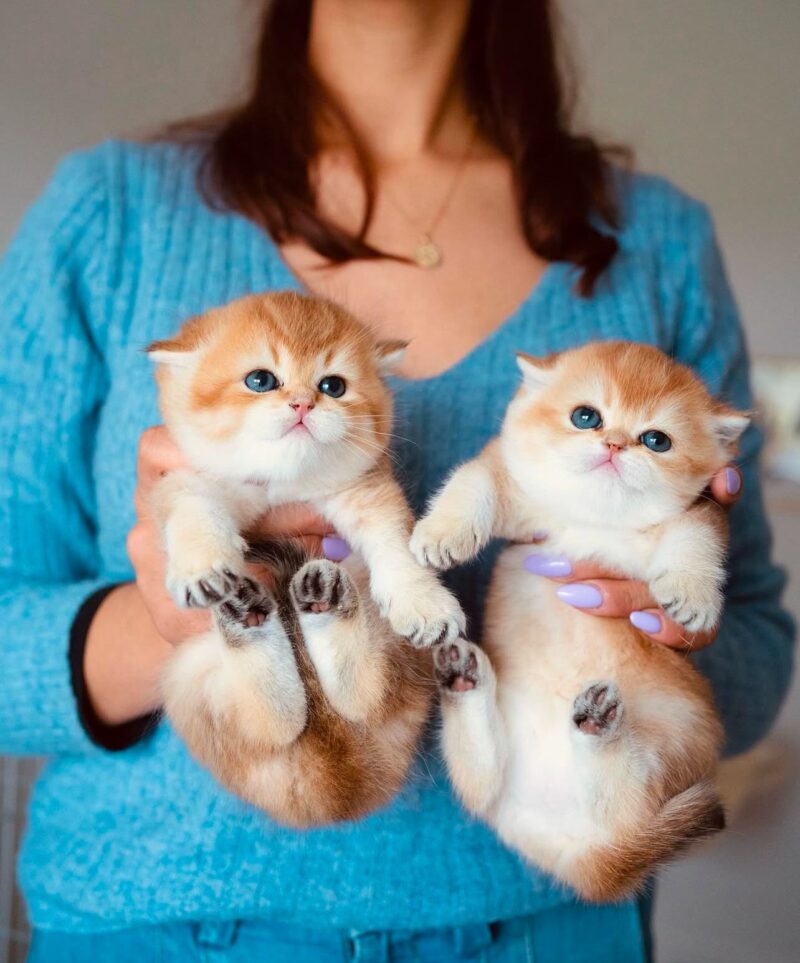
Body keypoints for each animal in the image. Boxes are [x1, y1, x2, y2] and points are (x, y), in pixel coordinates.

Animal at [149, 290, 456, 824]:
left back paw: (324, 601)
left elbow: (395, 541)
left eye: (333, 386)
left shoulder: (365, 490)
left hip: (396, 653)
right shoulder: (185, 478)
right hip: (190, 675)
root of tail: (338, 780)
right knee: (274, 723)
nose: (302, 403)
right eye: (260, 380)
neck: (282, 483)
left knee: (365, 695)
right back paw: (249, 618)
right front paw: (203, 565)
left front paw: (422, 600)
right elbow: (191, 507)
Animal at [412, 342, 752, 900]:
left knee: (624, 802)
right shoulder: (509, 487)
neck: (593, 519)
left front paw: (693, 594)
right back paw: (465, 679)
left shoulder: (699, 513)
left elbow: (698, 539)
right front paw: (444, 533)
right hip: (499, 776)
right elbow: (472, 483)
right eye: (586, 417)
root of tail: (570, 848)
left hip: (678, 733)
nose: (614, 444)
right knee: (482, 778)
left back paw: (598, 725)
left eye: (656, 440)